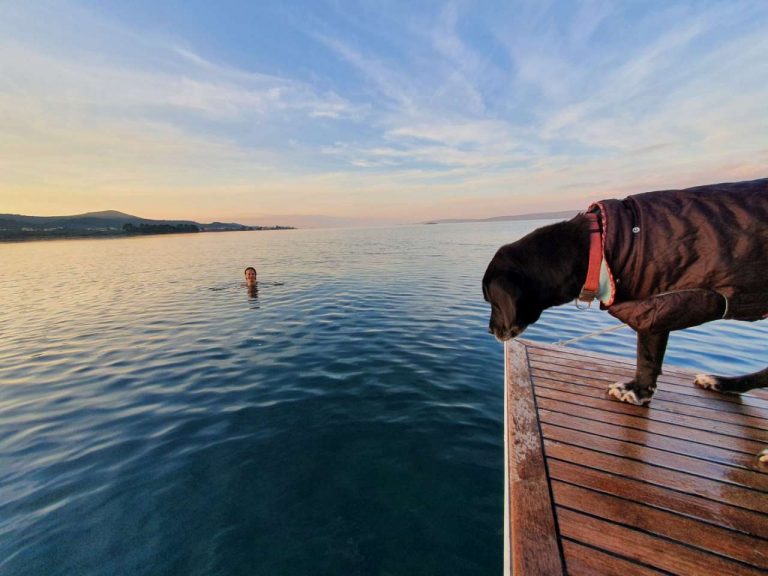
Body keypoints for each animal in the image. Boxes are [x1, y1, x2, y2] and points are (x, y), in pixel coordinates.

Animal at [484, 180, 764, 464]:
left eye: (492, 301)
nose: (490, 329)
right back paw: (722, 384)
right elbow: (650, 355)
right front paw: (639, 391)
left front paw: (637, 391)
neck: (596, 249)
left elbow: (647, 354)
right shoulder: (656, 304)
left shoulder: (659, 303)